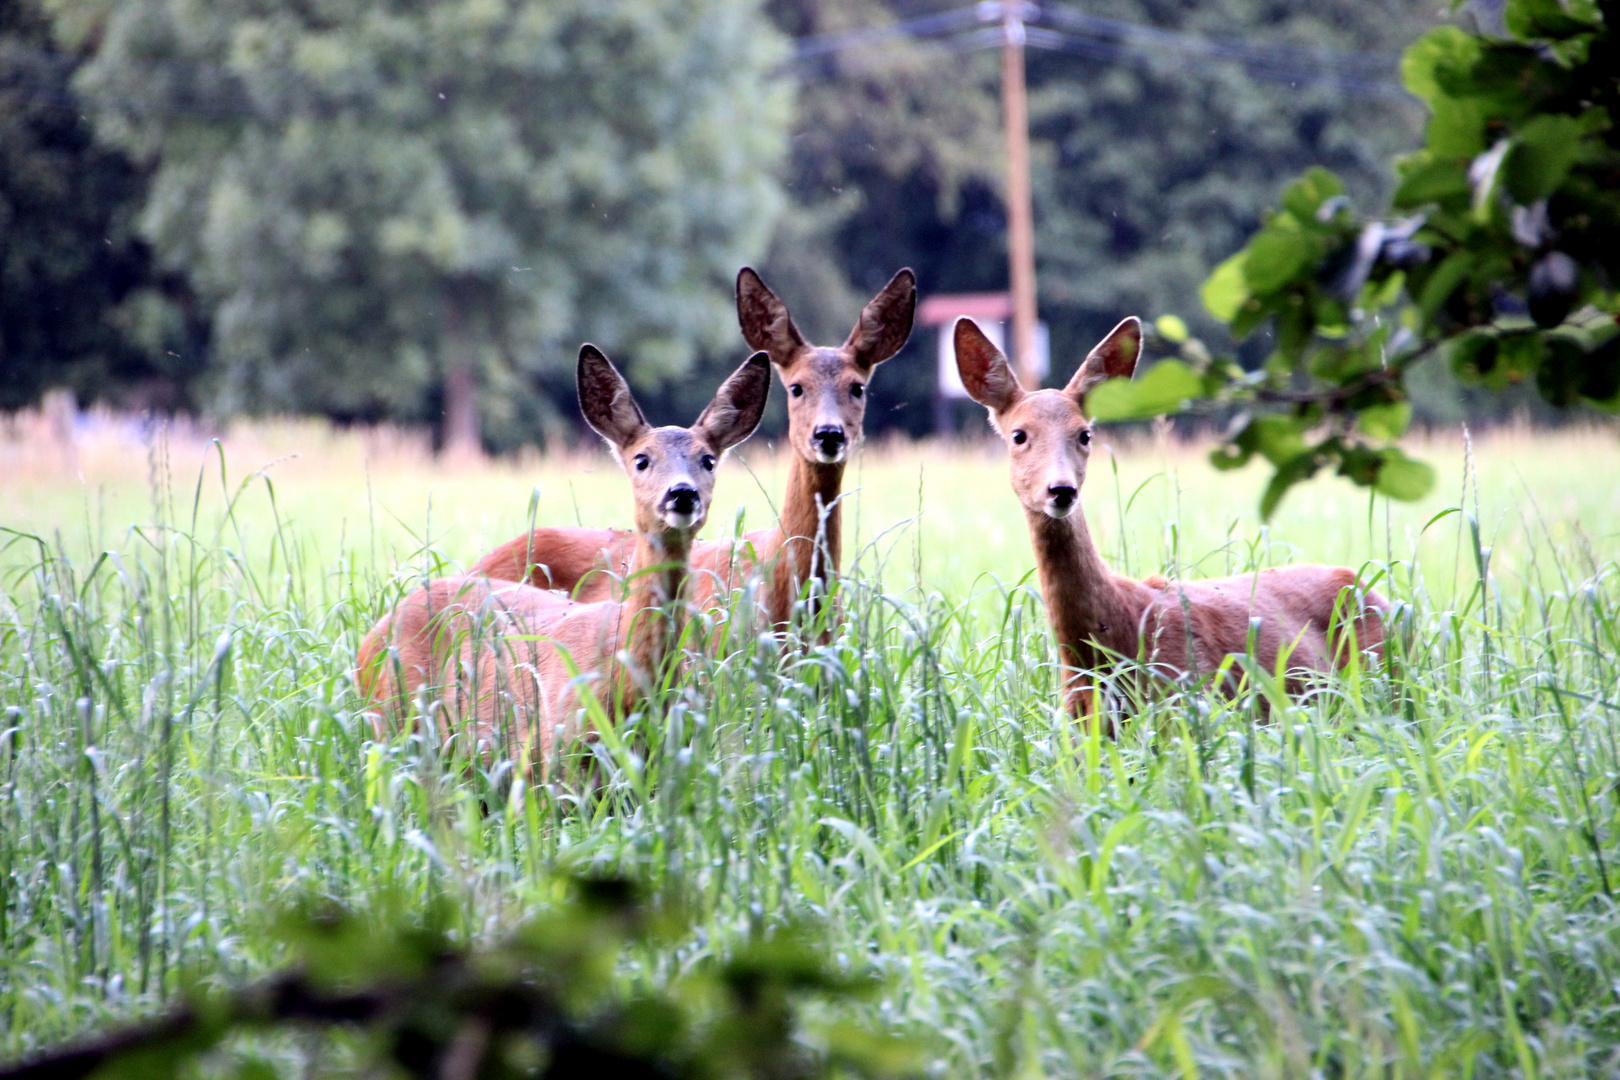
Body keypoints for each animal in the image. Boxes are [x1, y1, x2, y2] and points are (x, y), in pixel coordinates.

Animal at [358, 344, 774, 767]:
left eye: (708, 459)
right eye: (641, 459)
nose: (682, 493)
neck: (627, 681)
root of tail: (377, 628)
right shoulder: (545, 754)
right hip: (390, 720)